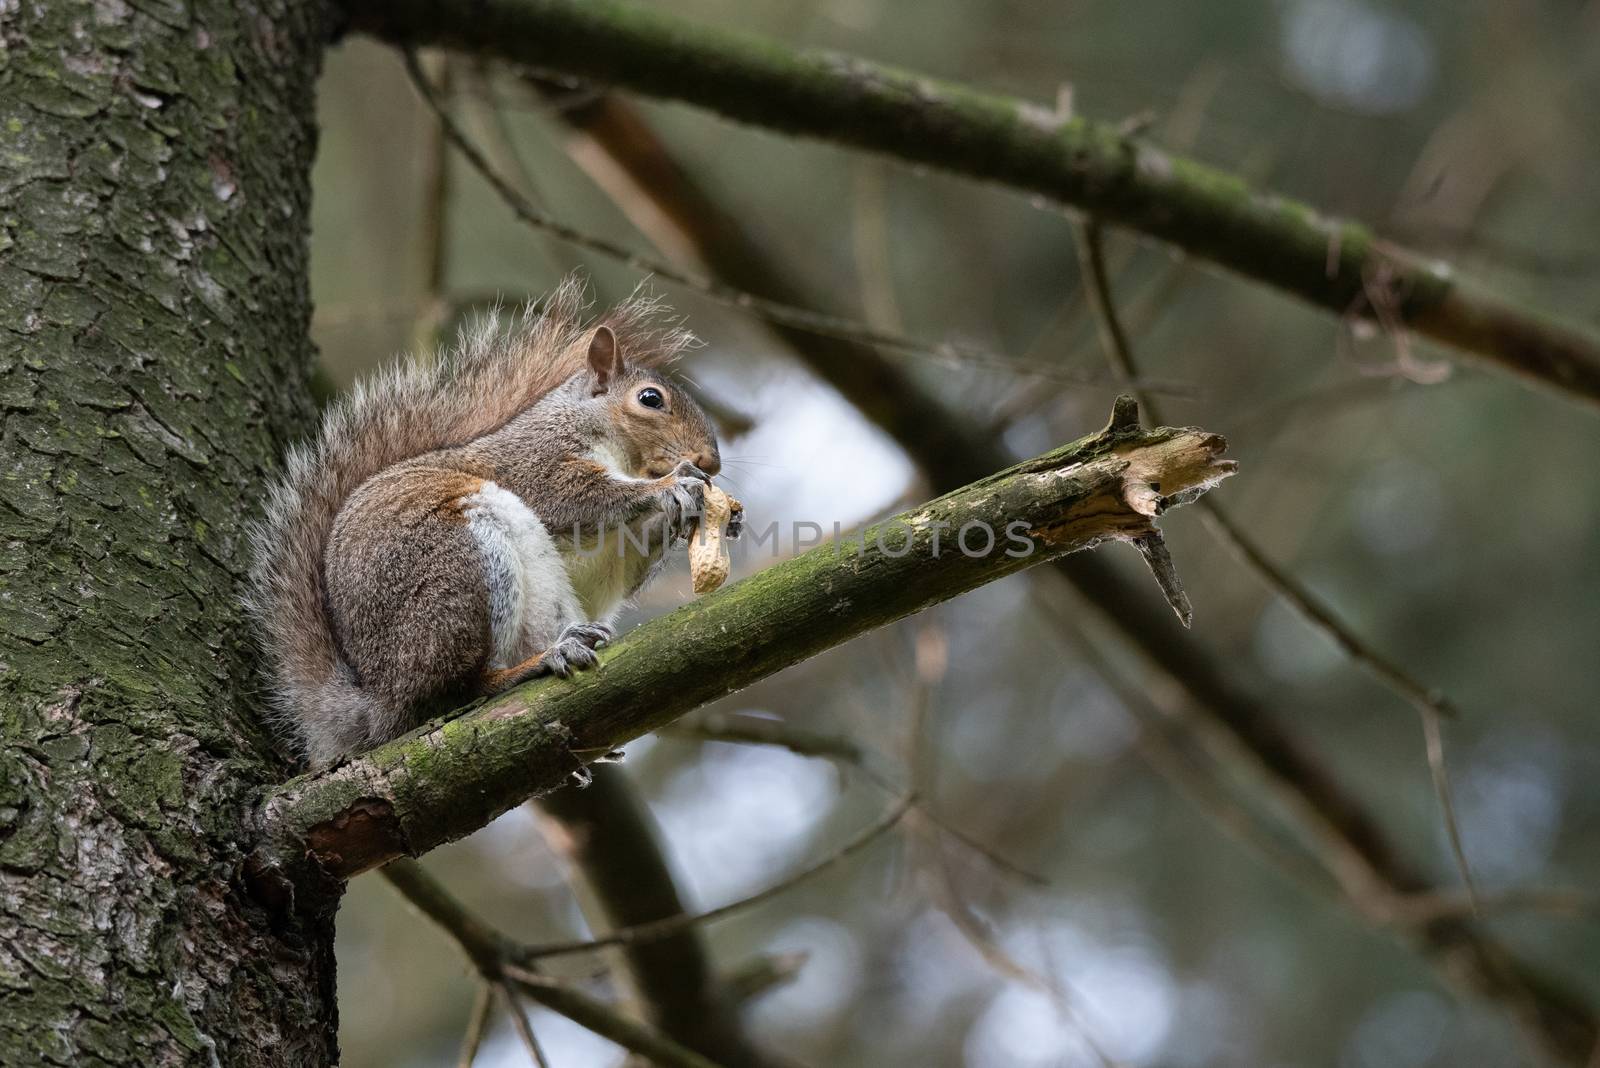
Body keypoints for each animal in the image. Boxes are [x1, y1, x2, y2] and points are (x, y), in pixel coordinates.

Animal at [244, 281, 736, 767]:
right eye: (650, 399)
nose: (711, 461)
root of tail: (382, 701)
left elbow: (618, 568)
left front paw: (699, 513)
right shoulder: (535, 461)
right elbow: (576, 497)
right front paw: (673, 485)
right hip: (456, 569)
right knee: (458, 691)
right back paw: (533, 665)